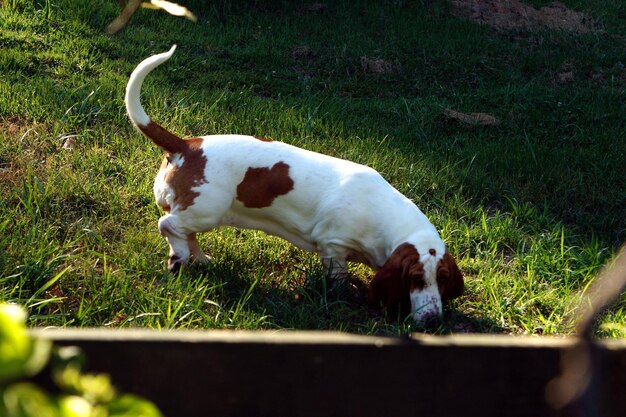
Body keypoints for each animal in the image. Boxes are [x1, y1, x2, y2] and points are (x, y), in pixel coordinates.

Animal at [124, 45, 460, 324]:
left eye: (443, 279)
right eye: (414, 279)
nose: (433, 321)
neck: (385, 218)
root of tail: (186, 145)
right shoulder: (333, 246)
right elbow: (338, 277)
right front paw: (342, 296)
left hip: (203, 213)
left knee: (186, 232)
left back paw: (202, 260)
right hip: (206, 210)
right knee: (169, 226)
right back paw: (179, 258)